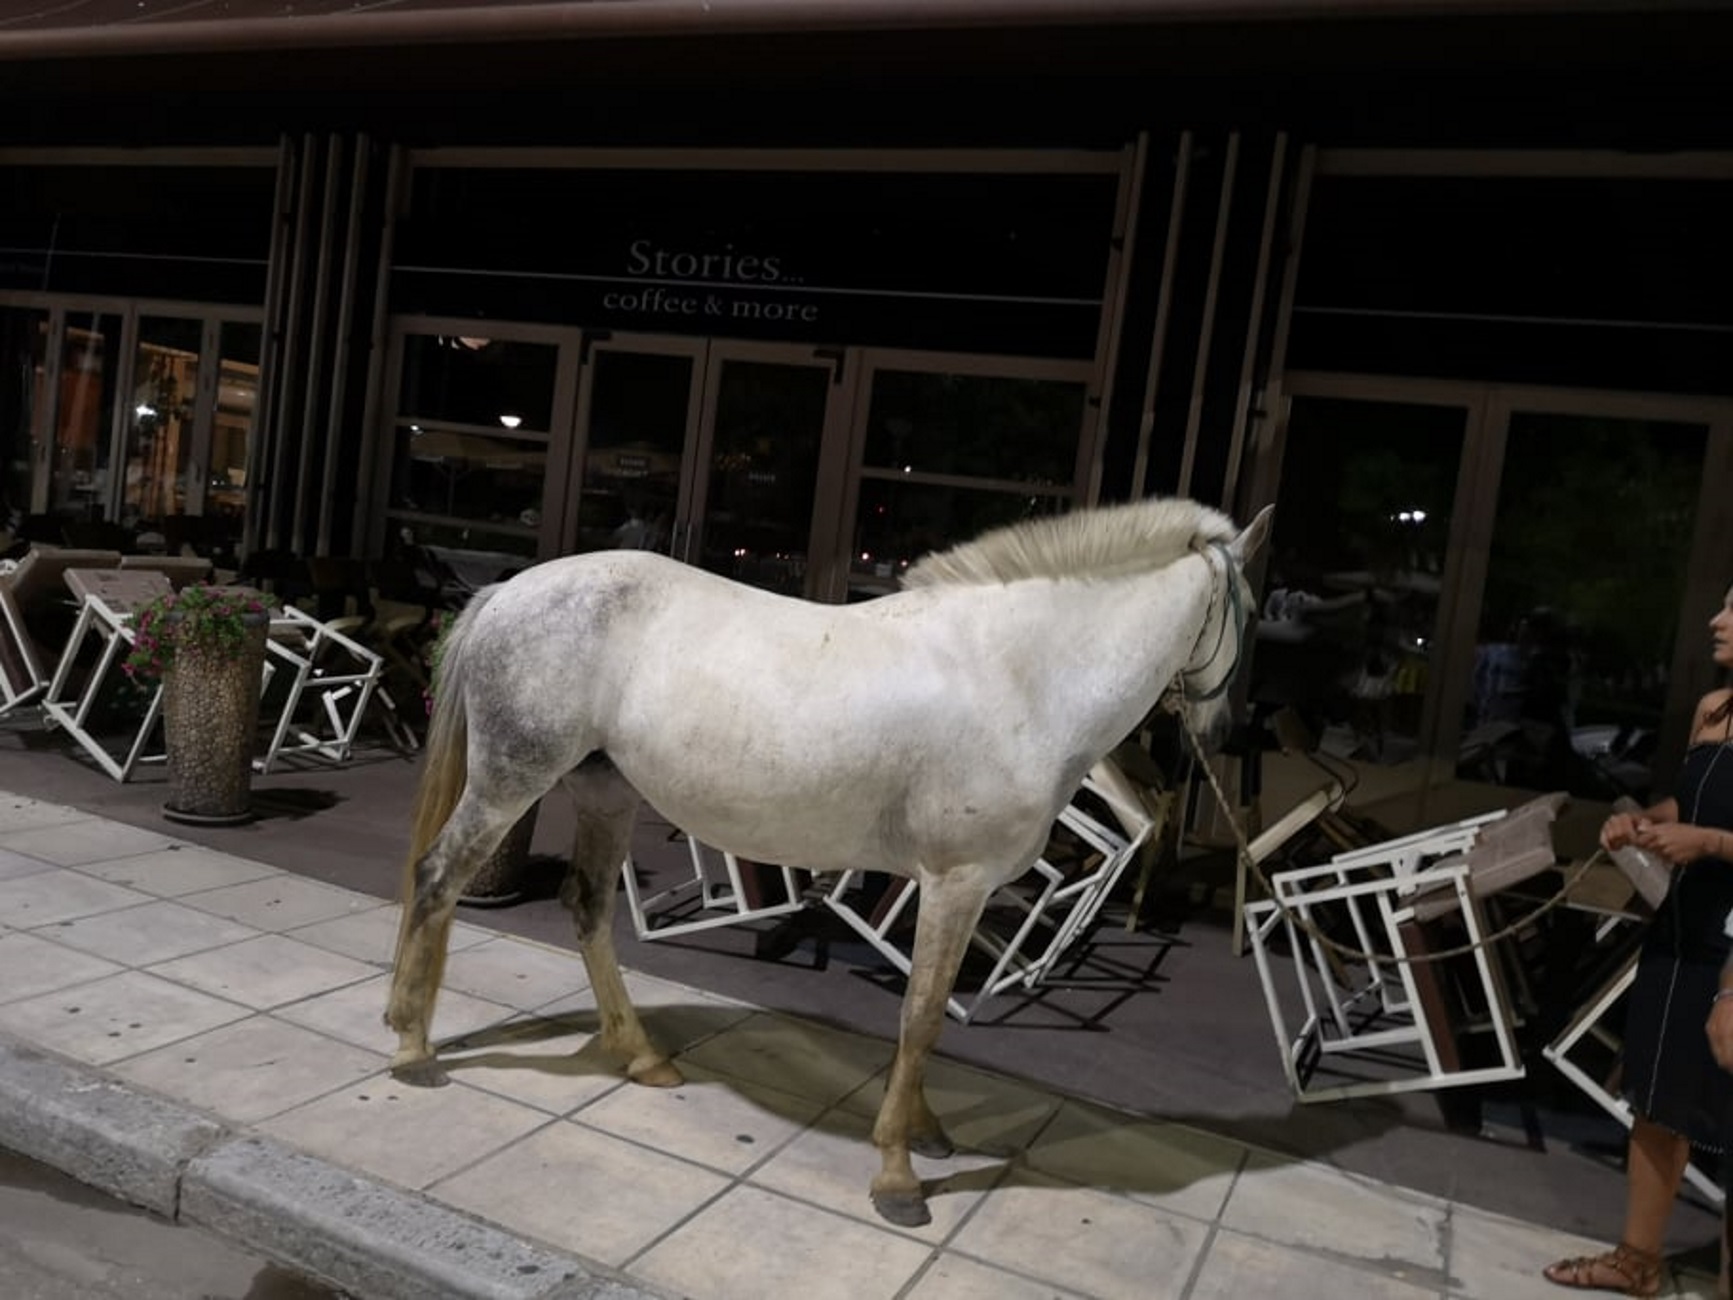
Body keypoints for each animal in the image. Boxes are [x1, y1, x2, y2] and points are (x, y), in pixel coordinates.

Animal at [386, 492, 1268, 1227]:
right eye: (1254, 616)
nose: (1225, 737)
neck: (1016, 676)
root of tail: (508, 592)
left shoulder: (956, 891)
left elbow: (924, 1013)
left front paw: (927, 1131)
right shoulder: (955, 883)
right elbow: (921, 1017)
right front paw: (899, 1175)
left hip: (604, 792)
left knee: (588, 908)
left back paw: (640, 1058)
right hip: (510, 781)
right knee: (438, 879)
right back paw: (412, 1049)